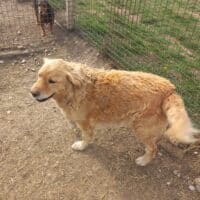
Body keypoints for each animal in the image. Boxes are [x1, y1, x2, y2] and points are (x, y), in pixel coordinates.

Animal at [30, 57, 199, 166]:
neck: (74, 91)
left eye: (52, 81)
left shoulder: (86, 124)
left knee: (153, 148)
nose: (32, 93)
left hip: (141, 129)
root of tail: (170, 88)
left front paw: (82, 145)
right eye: (39, 76)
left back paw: (144, 161)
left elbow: (86, 137)